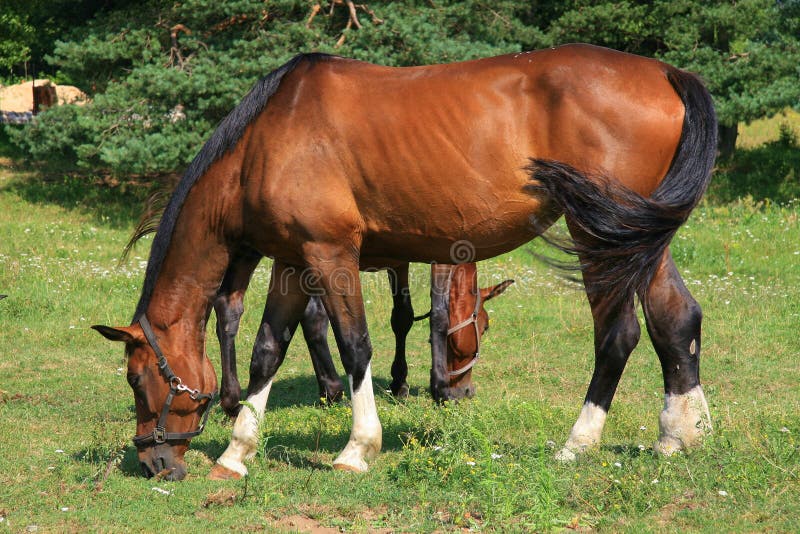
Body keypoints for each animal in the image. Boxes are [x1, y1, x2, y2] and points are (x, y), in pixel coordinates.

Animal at [212, 258, 512, 416]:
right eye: (484, 327)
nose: (468, 390)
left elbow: (402, 316)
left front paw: (399, 382)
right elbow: (435, 314)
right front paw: (429, 386)